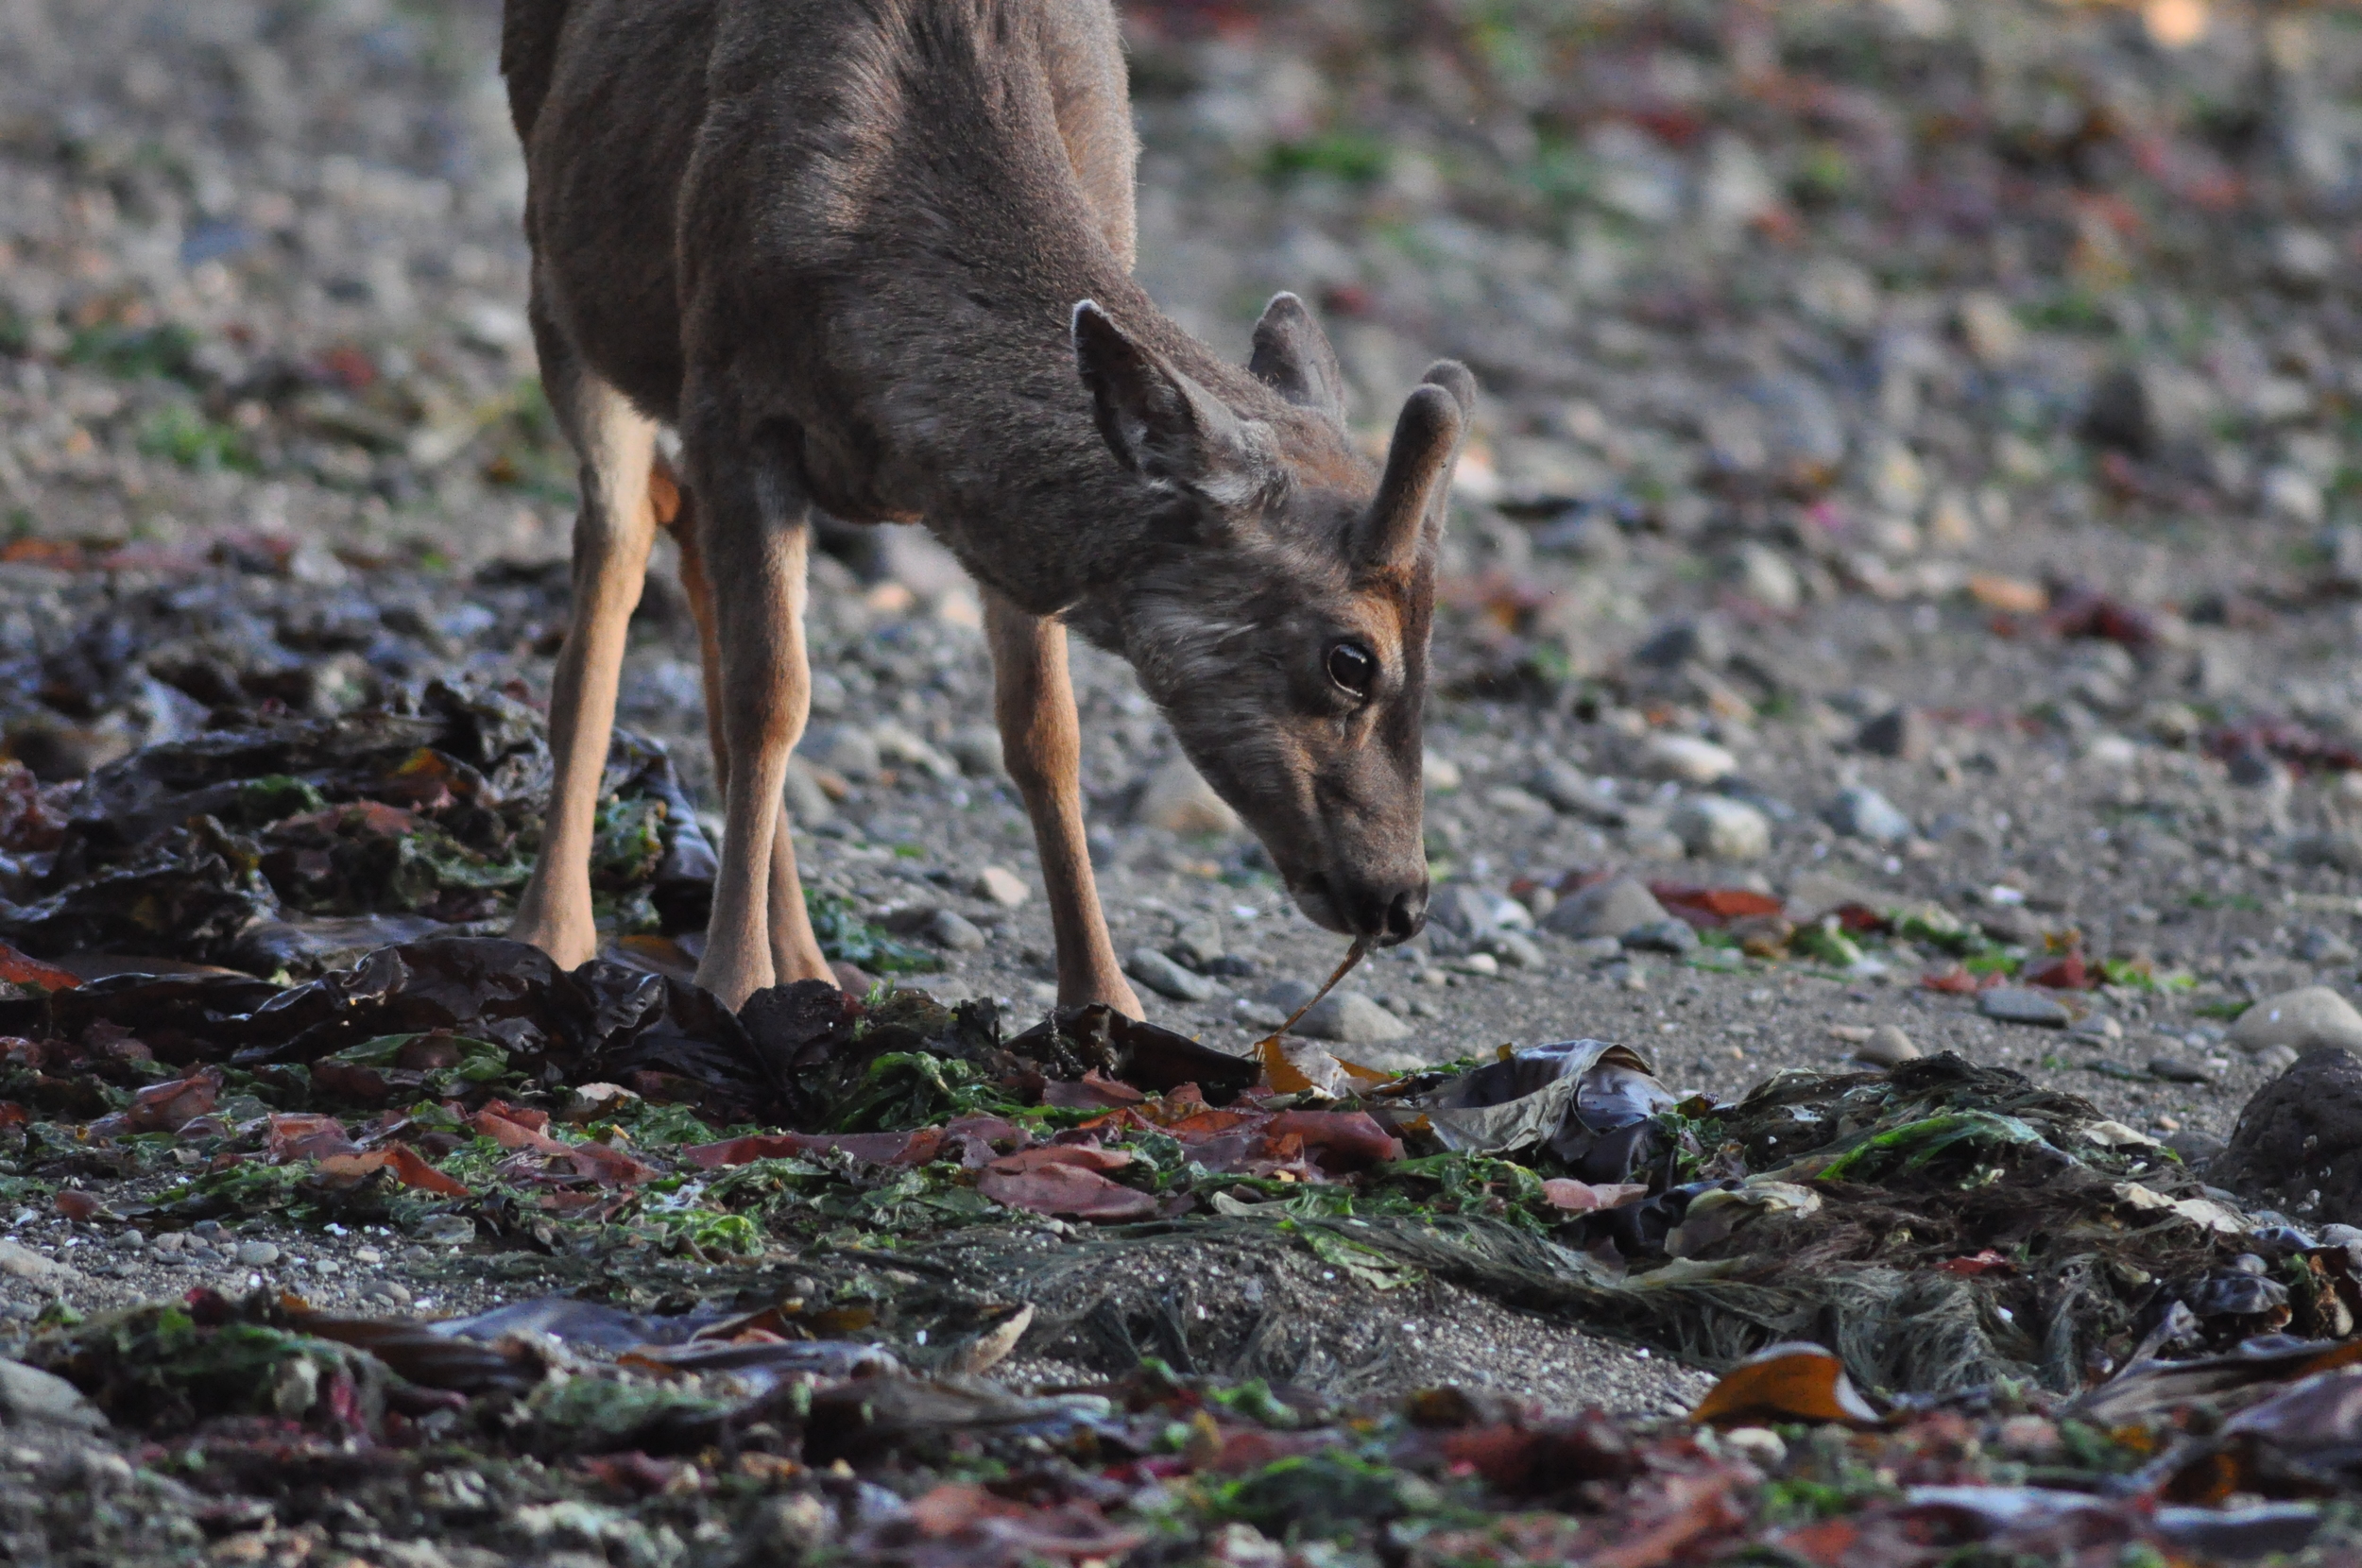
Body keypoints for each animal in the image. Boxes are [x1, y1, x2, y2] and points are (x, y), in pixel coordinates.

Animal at [493, 0, 1474, 1011]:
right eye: (1352, 660)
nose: (1404, 898)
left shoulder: (1005, 529)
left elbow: (1044, 731)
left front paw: (1104, 1001)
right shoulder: (733, 396)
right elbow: (772, 698)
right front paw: (732, 986)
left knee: (683, 537)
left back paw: (807, 962)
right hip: (558, 280)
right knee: (614, 550)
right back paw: (553, 931)